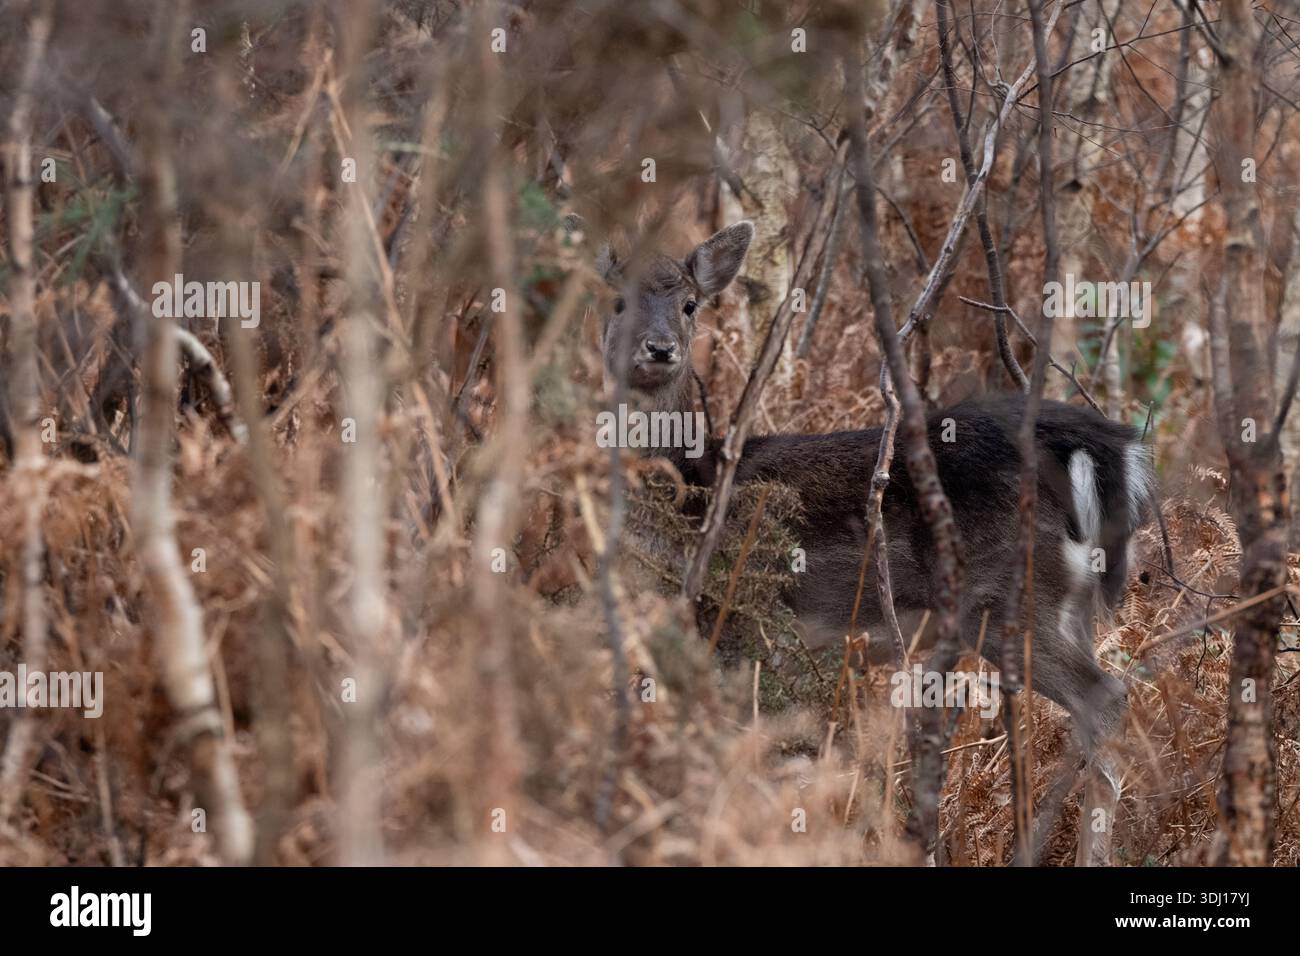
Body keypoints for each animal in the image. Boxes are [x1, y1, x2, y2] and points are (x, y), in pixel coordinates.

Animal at [597, 221, 1156, 865]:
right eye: (616, 299)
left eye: (690, 303)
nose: (659, 348)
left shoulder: (742, 626)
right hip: (1072, 604)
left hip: (1011, 600)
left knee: (1105, 700)